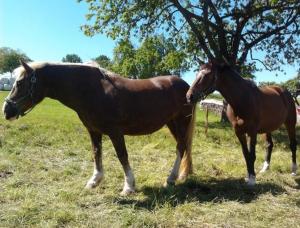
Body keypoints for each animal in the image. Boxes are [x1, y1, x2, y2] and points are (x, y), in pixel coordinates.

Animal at [2, 60, 196, 194]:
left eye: (19, 83)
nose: (6, 111)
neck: (92, 90)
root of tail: (186, 87)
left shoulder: (115, 132)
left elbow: (122, 156)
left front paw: (128, 187)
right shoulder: (93, 130)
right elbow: (96, 153)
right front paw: (94, 181)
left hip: (181, 122)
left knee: (180, 147)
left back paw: (170, 179)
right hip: (172, 123)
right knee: (183, 147)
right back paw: (179, 176)